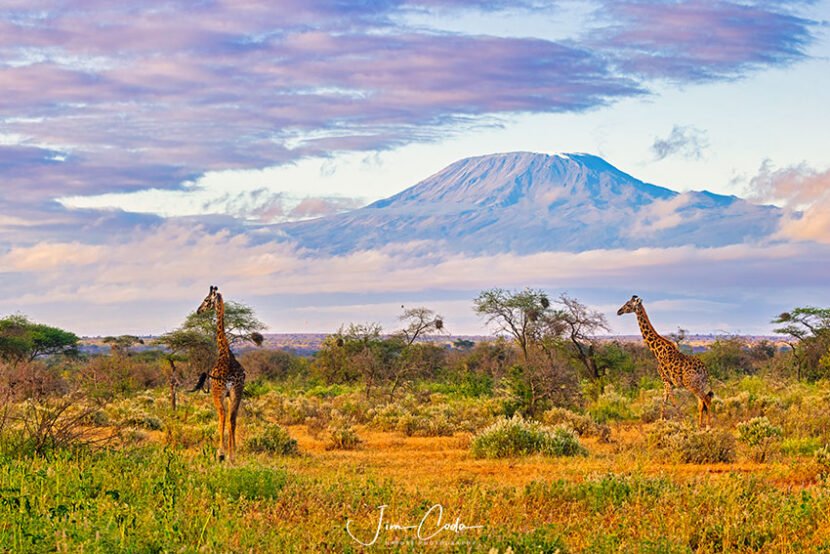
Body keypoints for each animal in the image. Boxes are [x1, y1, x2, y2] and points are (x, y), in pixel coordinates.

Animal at [197, 285, 246, 461]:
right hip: (237, 392)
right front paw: (233, 451)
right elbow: (232, 419)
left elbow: (221, 418)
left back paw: (221, 452)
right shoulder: (231, 393)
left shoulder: (218, 393)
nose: (198, 310)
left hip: (218, 393)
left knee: (222, 416)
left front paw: (222, 452)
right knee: (232, 417)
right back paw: (232, 454)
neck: (224, 350)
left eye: (206, 300)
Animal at [617, 295, 713, 427]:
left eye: (628, 304)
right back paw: (700, 425)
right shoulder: (667, 382)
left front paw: (682, 421)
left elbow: (672, 402)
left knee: (706, 400)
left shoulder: (665, 379)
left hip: (692, 384)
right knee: (701, 403)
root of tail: (704, 370)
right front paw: (662, 422)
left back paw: (708, 425)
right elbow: (664, 402)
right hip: (701, 384)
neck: (657, 351)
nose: (619, 311)